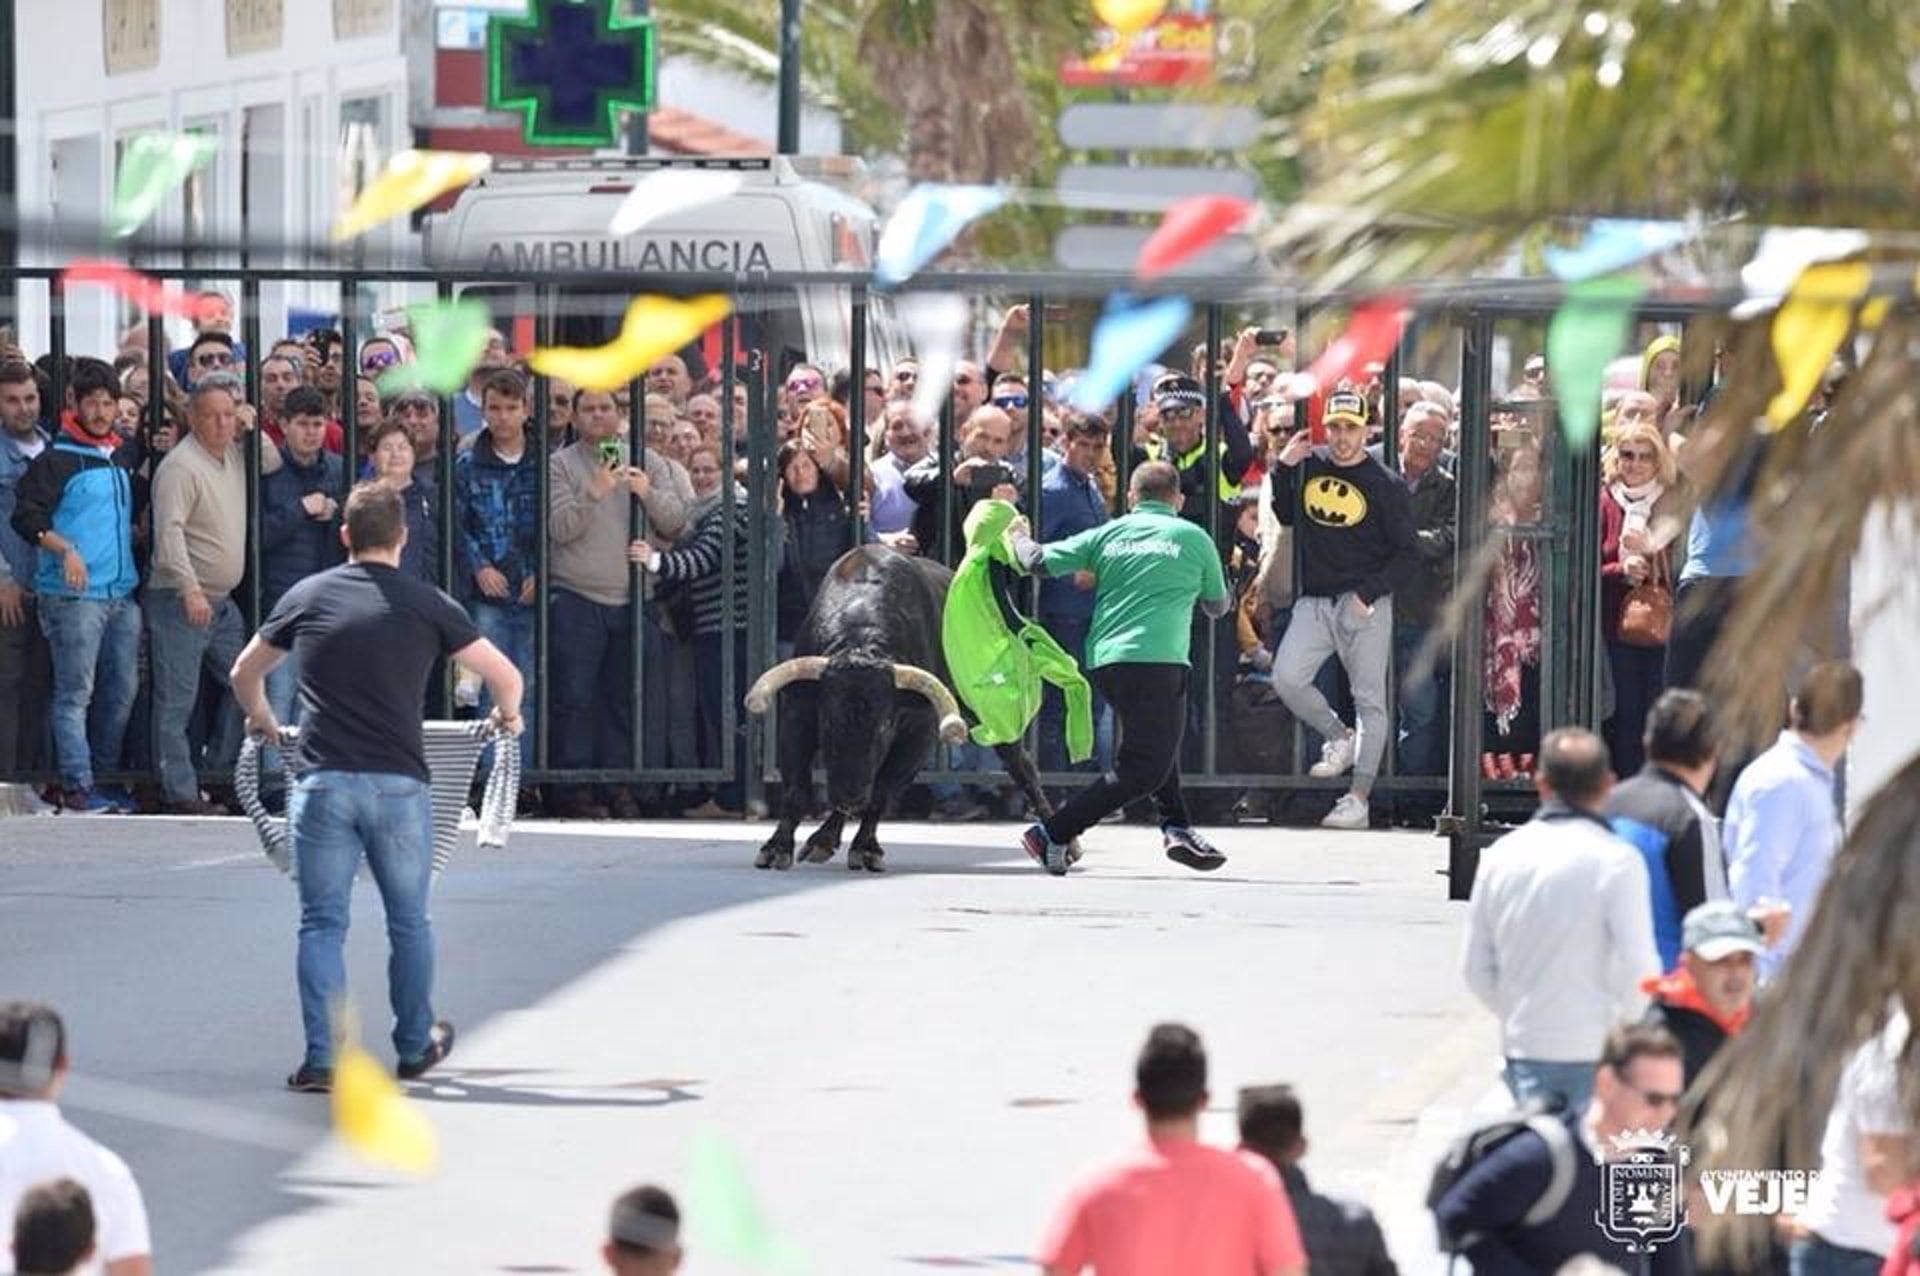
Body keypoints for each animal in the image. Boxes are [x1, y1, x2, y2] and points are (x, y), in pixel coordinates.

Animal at [737, 541, 1075, 871]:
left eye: (885, 725)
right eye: (828, 720)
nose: (849, 794)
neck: (861, 638)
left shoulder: (918, 734)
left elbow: (881, 793)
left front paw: (865, 848)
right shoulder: (798, 716)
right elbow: (797, 790)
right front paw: (776, 848)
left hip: (983, 709)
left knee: (1022, 766)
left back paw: (1064, 843)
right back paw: (824, 838)